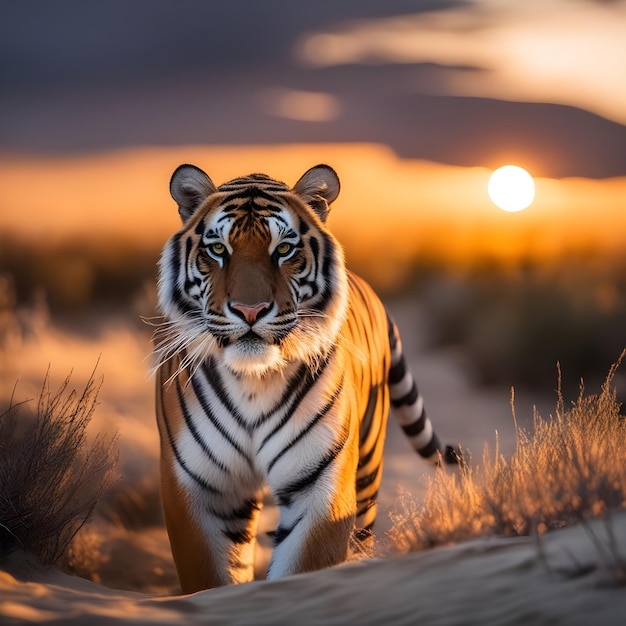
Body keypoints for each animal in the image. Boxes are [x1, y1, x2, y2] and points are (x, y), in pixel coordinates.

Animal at [154, 162, 460, 588]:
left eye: (284, 249)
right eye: (218, 249)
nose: (250, 311)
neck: (253, 379)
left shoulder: (320, 485)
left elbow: (303, 567)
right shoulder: (199, 489)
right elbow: (209, 580)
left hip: (367, 472)